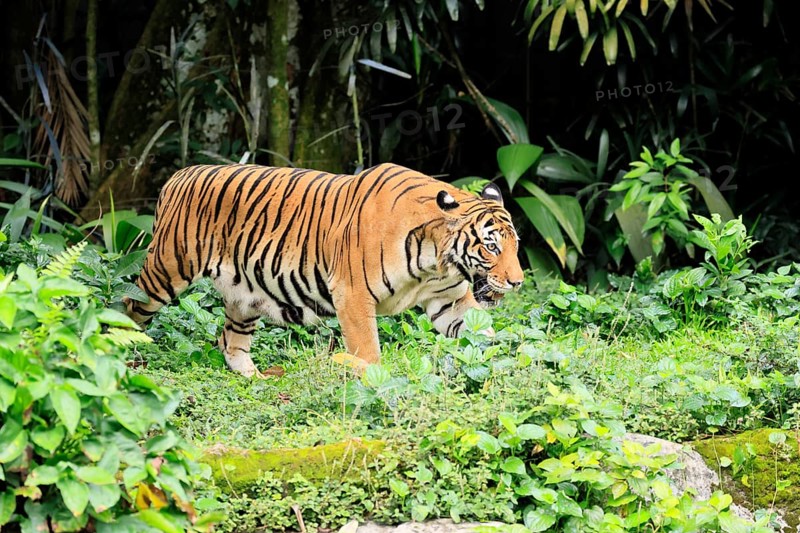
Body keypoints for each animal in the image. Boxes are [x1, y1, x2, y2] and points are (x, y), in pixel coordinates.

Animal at [125, 162, 524, 377]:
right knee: (129, 308)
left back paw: (256, 378)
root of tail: (180, 174)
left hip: (244, 296)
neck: (435, 260)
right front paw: (362, 371)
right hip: (165, 271)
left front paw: (508, 361)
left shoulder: (448, 301)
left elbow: (483, 335)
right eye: (491, 246)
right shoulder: (353, 294)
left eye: (515, 246)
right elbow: (369, 352)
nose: (518, 282)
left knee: (230, 341)